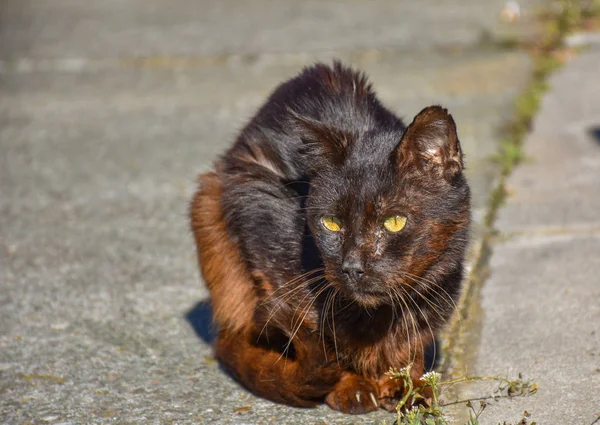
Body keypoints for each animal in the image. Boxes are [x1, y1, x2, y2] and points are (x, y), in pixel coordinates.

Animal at [190, 61, 472, 412]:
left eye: (394, 222)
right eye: (331, 223)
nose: (352, 266)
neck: (376, 316)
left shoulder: (435, 288)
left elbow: (411, 340)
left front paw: (409, 385)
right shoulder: (260, 216)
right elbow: (321, 331)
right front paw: (353, 385)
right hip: (209, 202)